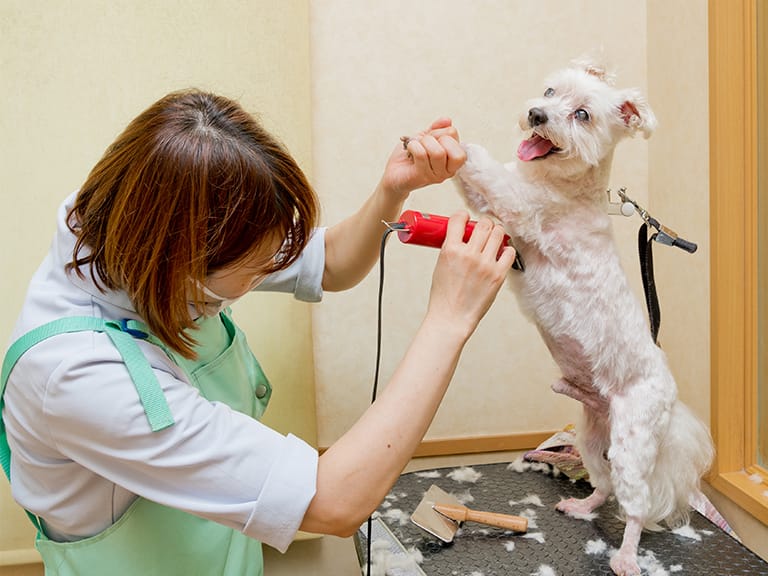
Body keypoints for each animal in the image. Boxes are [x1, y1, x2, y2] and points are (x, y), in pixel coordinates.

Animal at [456, 59, 712, 576]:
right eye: (550, 91)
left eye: (582, 115)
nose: (536, 115)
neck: (557, 184)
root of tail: (671, 397)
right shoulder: (502, 206)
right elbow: (479, 188)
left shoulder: (521, 205)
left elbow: (489, 174)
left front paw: (452, 143)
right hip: (595, 438)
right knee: (604, 482)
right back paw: (583, 505)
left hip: (634, 441)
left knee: (634, 505)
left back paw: (627, 557)